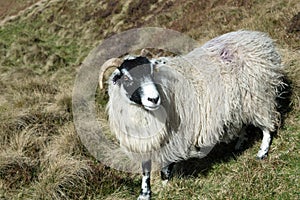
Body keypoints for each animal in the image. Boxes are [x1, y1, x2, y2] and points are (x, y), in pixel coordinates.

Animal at [98, 30, 284, 200]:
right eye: (127, 79)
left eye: (151, 72)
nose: (154, 99)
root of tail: (257, 37)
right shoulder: (144, 141)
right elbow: (145, 170)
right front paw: (144, 194)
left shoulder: (175, 137)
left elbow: (166, 167)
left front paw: (166, 187)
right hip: (241, 103)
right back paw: (240, 142)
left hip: (258, 96)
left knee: (267, 126)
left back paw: (262, 152)